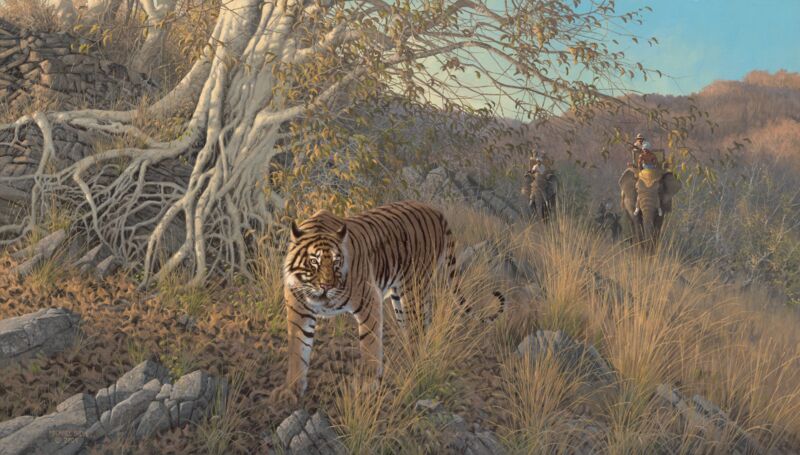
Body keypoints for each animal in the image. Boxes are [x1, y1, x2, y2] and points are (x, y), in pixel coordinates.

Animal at [280, 200, 504, 397]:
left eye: (337, 262)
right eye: (314, 261)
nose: (327, 286)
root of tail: (435, 210)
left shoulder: (370, 301)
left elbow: (370, 346)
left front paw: (368, 385)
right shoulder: (300, 311)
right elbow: (298, 350)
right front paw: (292, 390)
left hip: (413, 289)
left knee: (418, 329)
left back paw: (414, 365)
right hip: (400, 298)